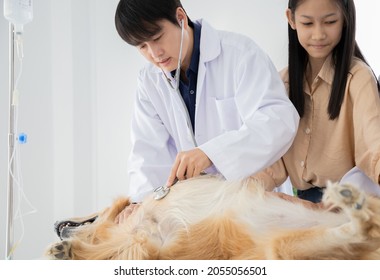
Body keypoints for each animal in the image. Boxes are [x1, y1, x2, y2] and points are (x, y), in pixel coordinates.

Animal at [46, 175, 380, 260]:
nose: (56, 226)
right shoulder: (152, 246)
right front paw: (67, 251)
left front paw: (70, 248)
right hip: (288, 249)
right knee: (363, 230)